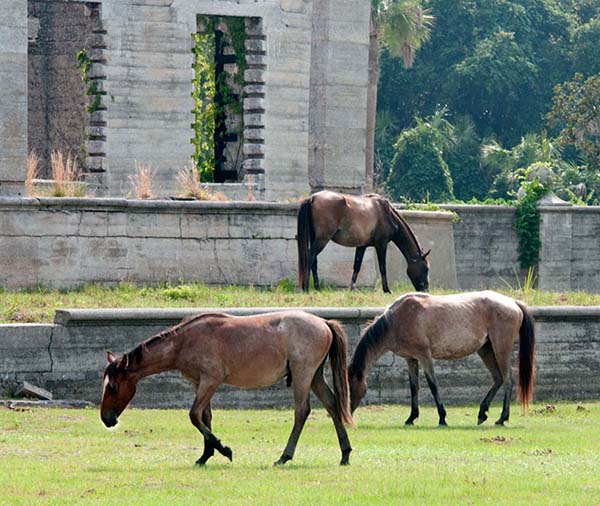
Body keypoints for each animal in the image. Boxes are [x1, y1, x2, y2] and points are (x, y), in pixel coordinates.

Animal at [101, 312, 354, 466]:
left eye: (112, 387)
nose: (106, 419)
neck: (184, 342)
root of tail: (323, 322)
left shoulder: (210, 381)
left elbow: (194, 415)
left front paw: (223, 449)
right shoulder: (199, 382)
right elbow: (205, 417)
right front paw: (205, 455)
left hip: (303, 375)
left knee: (302, 412)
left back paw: (284, 456)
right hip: (315, 377)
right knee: (332, 405)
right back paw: (345, 454)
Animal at [296, 189, 428, 292]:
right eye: (426, 268)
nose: (425, 289)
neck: (387, 213)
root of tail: (312, 198)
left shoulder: (362, 246)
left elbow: (357, 266)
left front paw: (351, 288)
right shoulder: (381, 244)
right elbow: (382, 266)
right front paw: (386, 289)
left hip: (316, 238)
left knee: (314, 260)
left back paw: (317, 287)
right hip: (322, 239)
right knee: (310, 256)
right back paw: (306, 287)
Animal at [350, 290, 536, 424]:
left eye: (351, 388)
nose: (347, 415)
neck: (397, 320)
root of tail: (513, 303)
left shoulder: (424, 356)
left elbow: (433, 385)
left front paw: (442, 417)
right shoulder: (411, 359)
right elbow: (414, 387)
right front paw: (411, 417)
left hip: (501, 349)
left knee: (507, 380)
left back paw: (502, 418)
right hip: (485, 350)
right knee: (498, 378)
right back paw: (482, 413)